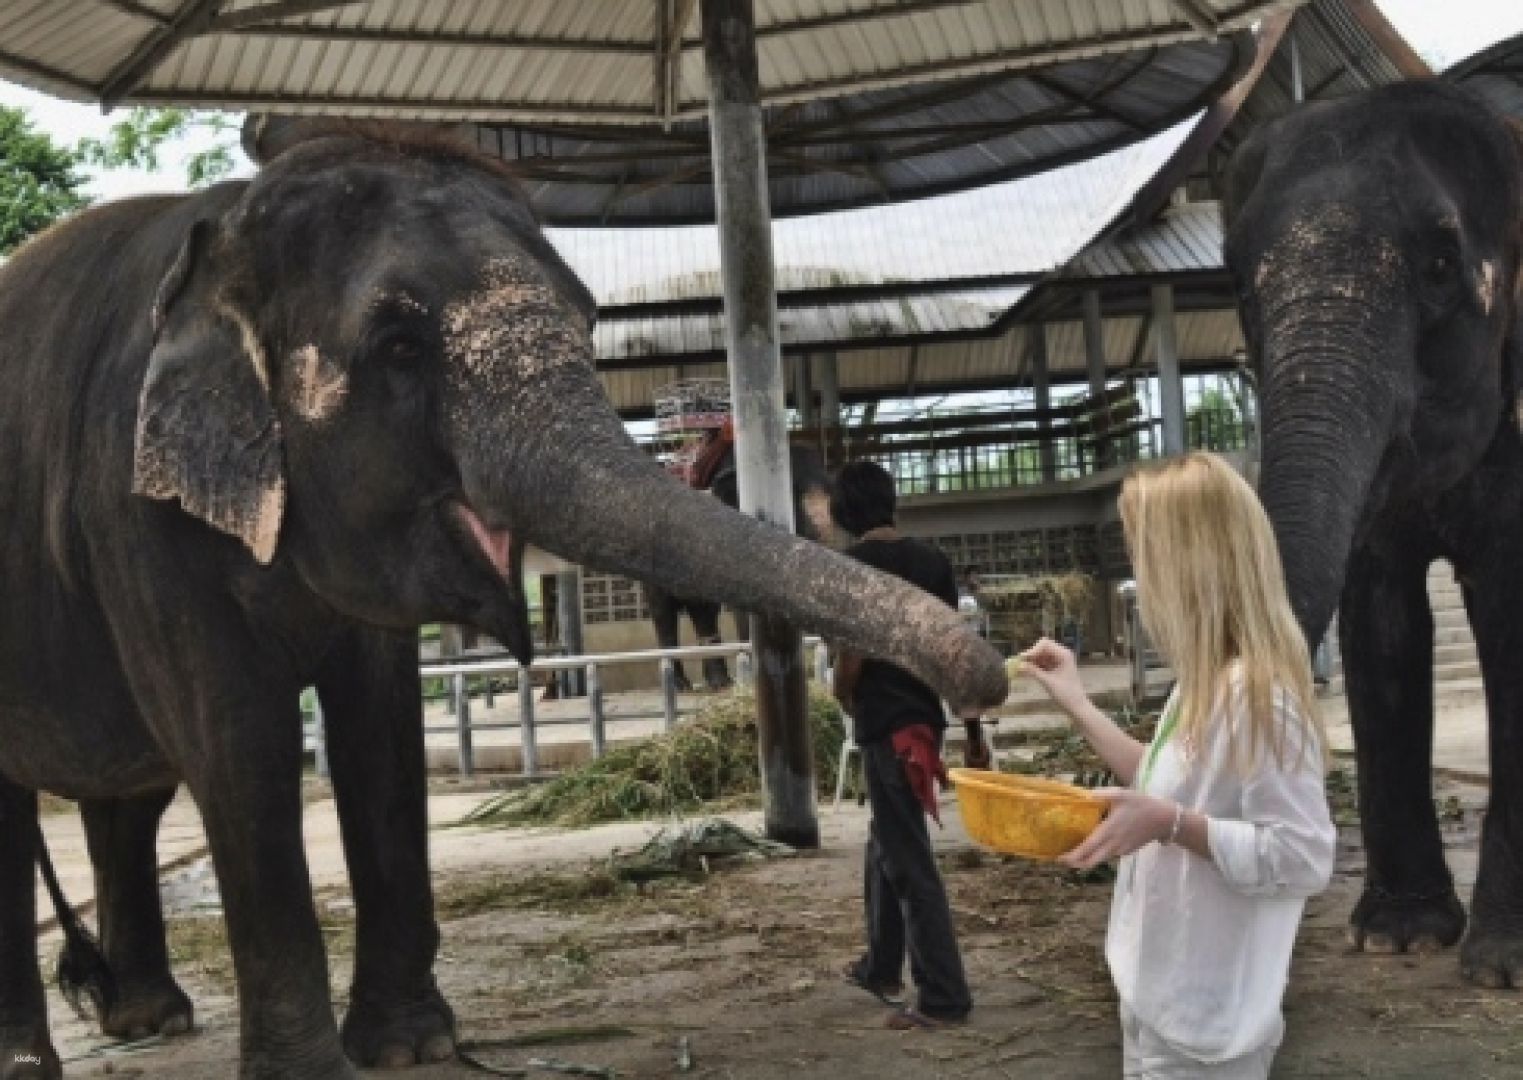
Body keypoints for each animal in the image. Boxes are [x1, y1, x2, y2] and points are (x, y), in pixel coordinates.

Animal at [1224, 82, 1523, 987]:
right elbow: (1380, 617)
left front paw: (1498, 969)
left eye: (1438, 266)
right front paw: (1399, 937)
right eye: (1235, 282)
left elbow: (1511, 611)